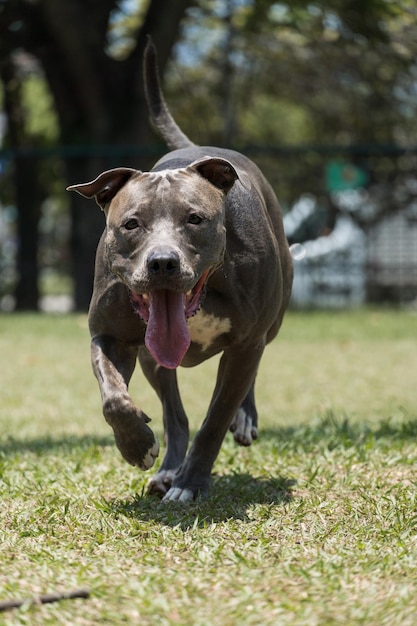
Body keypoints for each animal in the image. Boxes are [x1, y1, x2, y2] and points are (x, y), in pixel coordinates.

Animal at [66, 39, 292, 500]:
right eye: (131, 223)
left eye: (195, 219)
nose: (163, 263)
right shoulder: (111, 335)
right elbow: (113, 398)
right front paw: (137, 445)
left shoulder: (246, 342)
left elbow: (215, 420)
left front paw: (192, 484)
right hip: (153, 357)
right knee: (175, 415)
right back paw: (168, 467)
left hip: (270, 323)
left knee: (247, 374)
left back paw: (240, 422)